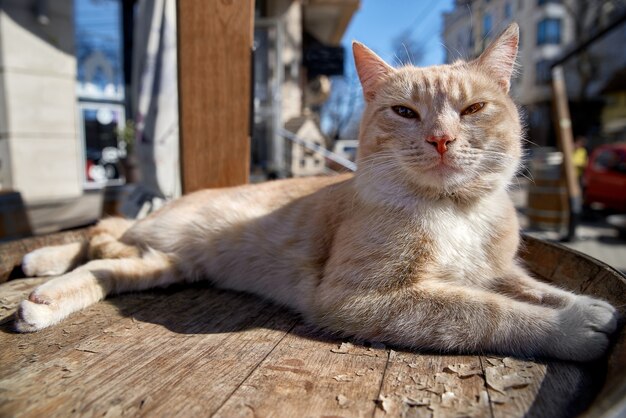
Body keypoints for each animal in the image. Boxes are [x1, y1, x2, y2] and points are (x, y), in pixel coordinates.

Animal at [12, 22, 616, 360]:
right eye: (404, 111)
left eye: (472, 109)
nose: (442, 139)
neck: (459, 214)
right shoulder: (360, 297)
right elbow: (481, 312)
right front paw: (569, 327)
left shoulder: (498, 272)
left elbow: (533, 289)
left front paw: (586, 305)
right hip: (158, 233)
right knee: (101, 234)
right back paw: (41, 264)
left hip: (165, 264)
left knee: (105, 261)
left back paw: (43, 295)